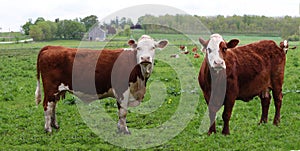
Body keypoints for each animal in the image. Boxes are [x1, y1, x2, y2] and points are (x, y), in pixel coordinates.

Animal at [35, 34, 169, 134]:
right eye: (138, 48)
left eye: (153, 47)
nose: (145, 58)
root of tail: (51, 47)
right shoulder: (122, 90)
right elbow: (123, 112)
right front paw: (124, 130)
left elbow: (121, 113)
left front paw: (119, 128)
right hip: (51, 88)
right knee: (47, 106)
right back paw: (48, 128)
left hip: (56, 91)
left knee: (53, 106)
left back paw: (55, 125)